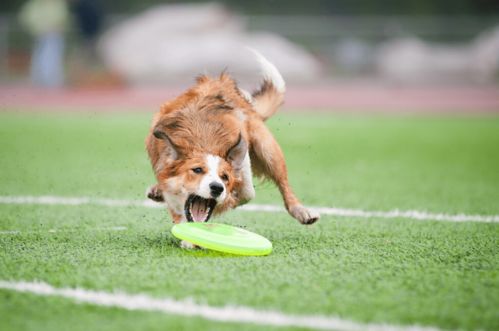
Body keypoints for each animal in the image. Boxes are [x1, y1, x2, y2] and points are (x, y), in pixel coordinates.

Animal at [146, 49, 320, 246]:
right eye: (197, 170)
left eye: (224, 177)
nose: (217, 188)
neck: (204, 141)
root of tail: (221, 82)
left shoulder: (242, 159)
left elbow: (245, 193)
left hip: (267, 147)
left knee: (283, 183)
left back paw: (301, 210)